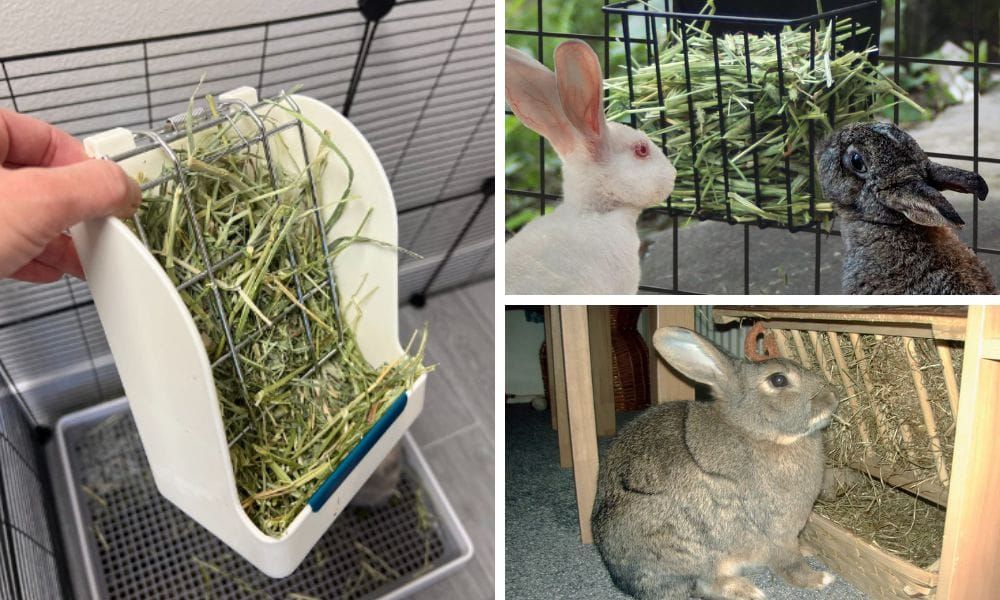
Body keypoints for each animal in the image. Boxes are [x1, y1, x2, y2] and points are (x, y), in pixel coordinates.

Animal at [592, 327, 839, 600]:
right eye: (778, 380)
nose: (832, 397)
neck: (756, 432)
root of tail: (620, 577)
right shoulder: (777, 533)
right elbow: (790, 564)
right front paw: (820, 578)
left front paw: (809, 550)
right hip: (698, 554)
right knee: (706, 583)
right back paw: (747, 590)